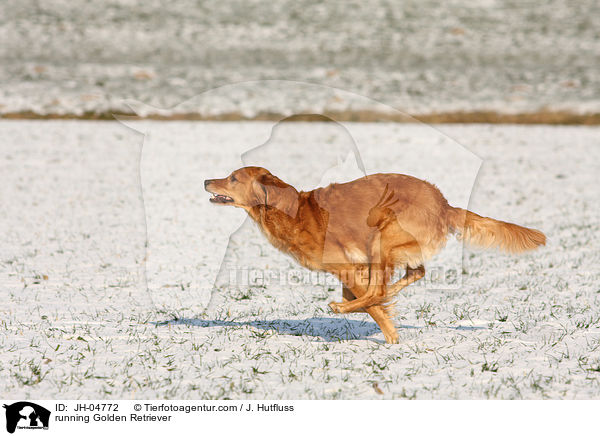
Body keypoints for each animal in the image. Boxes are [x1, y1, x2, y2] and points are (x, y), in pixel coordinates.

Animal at [204, 167, 548, 344]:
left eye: (233, 178)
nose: (206, 179)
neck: (291, 212)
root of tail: (444, 204)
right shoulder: (353, 267)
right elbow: (368, 294)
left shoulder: (344, 264)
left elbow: (371, 303)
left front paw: (391, 336)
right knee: (412, 274)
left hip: (384, 234)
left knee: (380, 288)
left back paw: (345, 307)